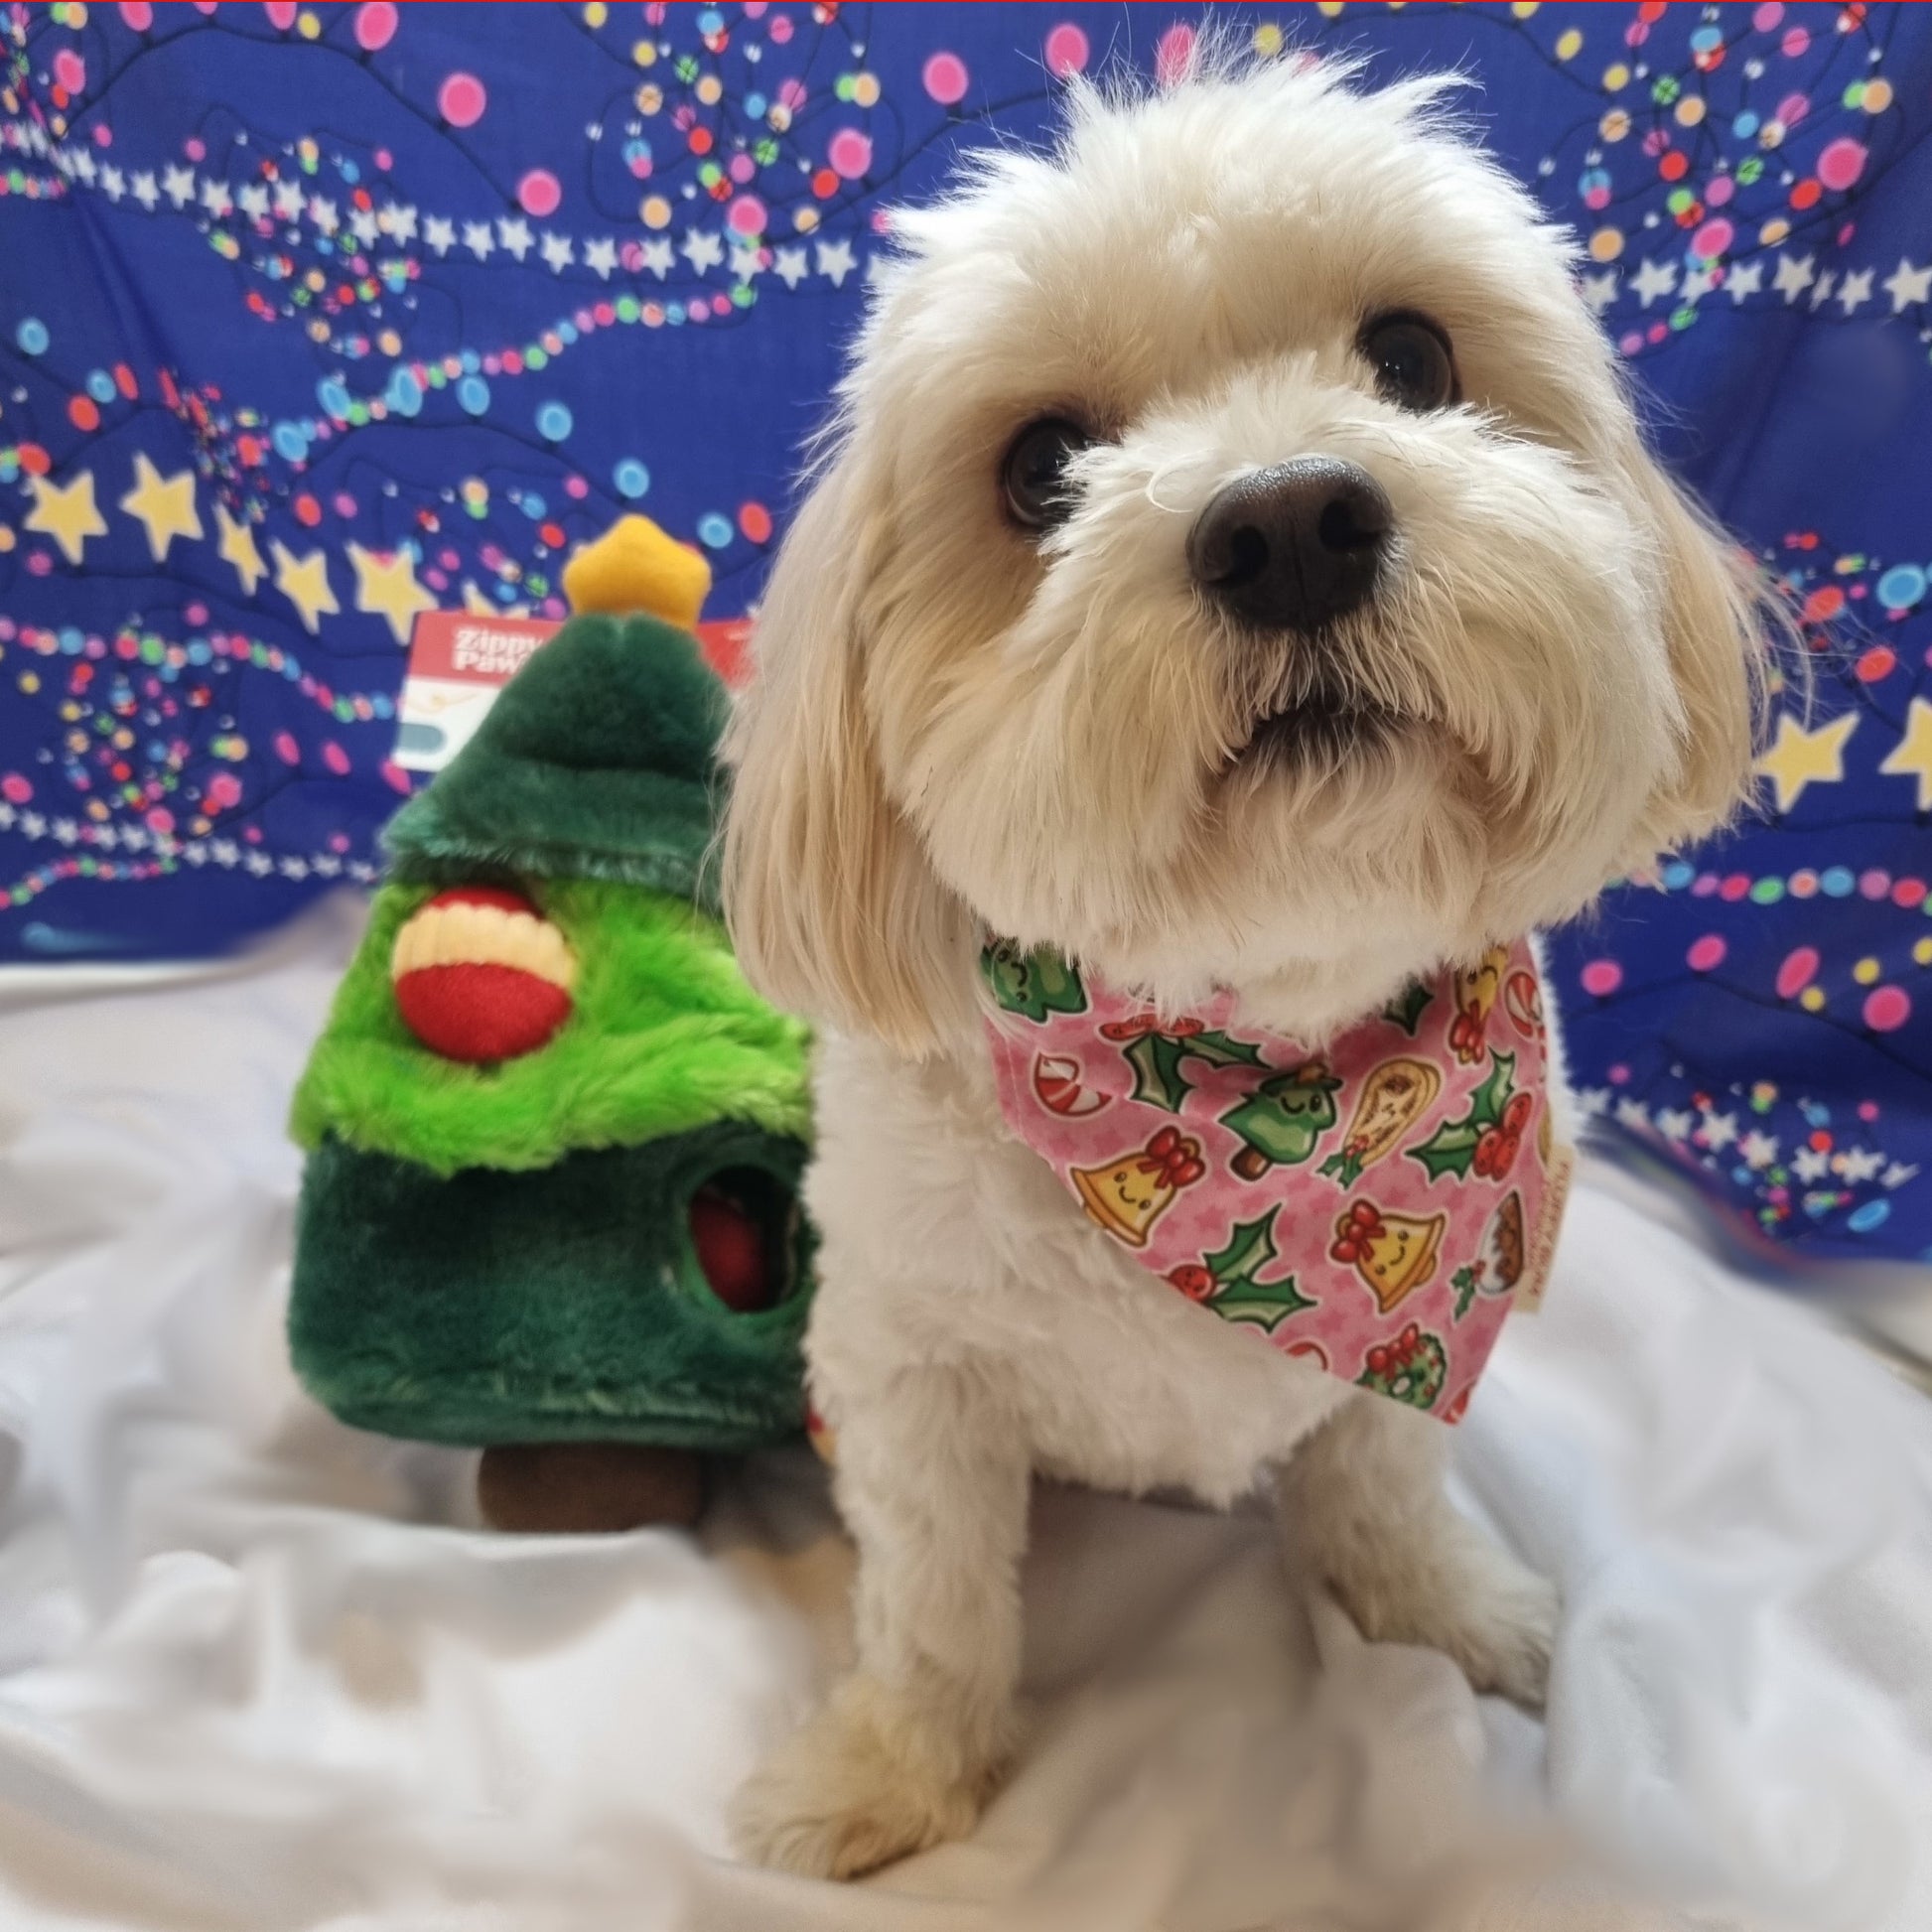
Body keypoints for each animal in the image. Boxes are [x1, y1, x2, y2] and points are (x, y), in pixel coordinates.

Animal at [718, 49, 1761, 1885]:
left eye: (1410, 358)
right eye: (1040, 466)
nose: (1289, 521)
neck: (1250, 1087)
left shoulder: (1438, 1316)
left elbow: (1382, 1481)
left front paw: (1433, 1610)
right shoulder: (907, 1376)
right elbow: (932, 1599)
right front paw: (891, 1776)